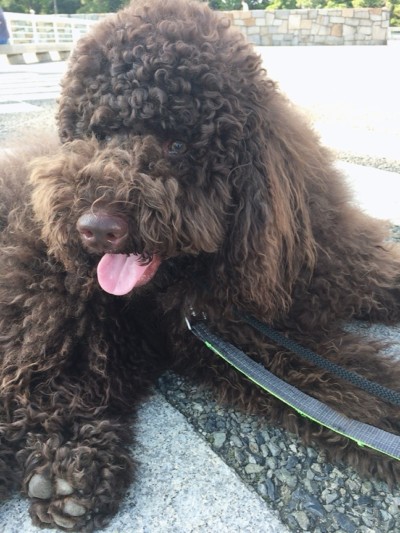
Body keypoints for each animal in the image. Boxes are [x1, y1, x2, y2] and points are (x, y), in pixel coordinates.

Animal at [1, 0, 400, 530]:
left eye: (177, 144)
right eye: (98, 135)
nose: (95, 227)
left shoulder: (338, 260)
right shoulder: (243, 339)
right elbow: (359, 391)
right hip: (55, 306)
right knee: (31, 392)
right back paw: (70, 473)